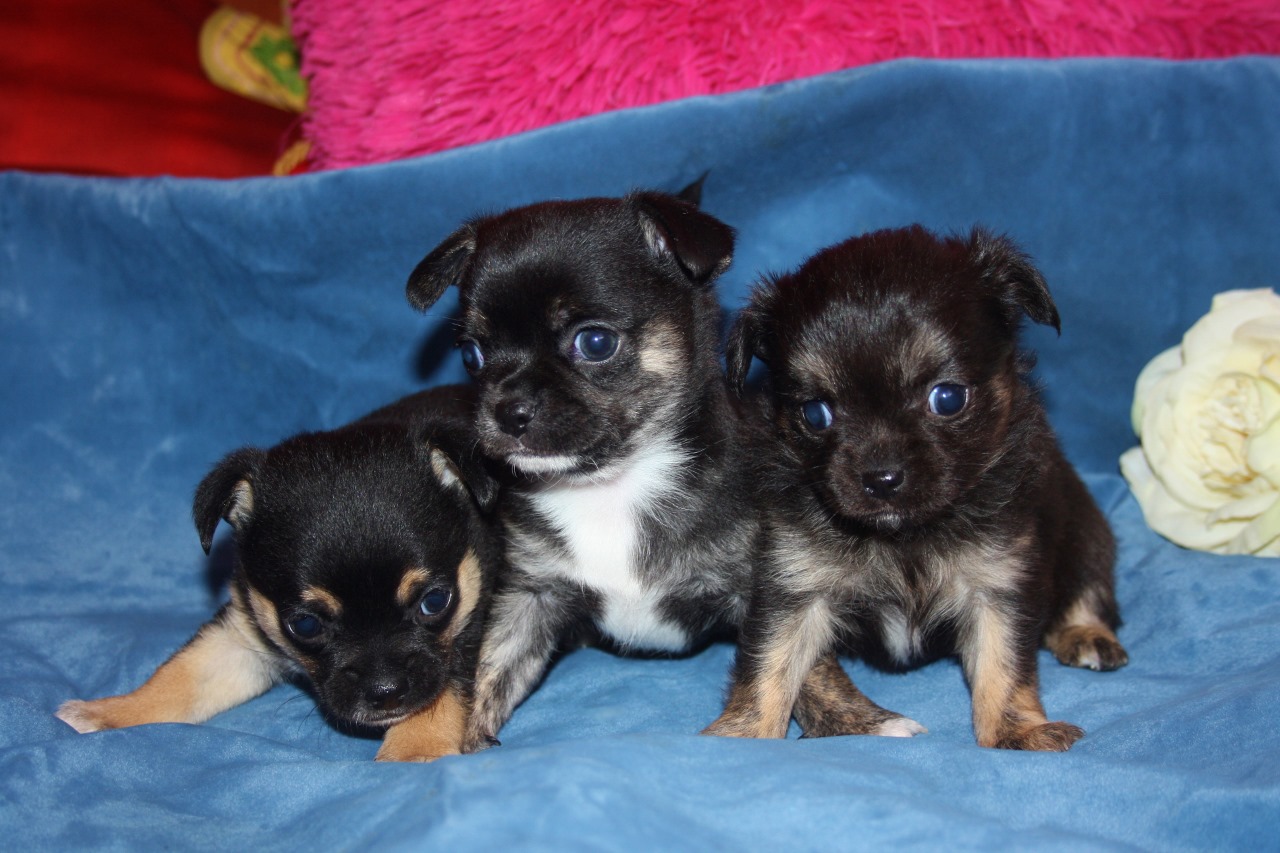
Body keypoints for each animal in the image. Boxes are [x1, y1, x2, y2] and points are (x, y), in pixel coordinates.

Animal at [56, 386, 502, 762]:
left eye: (434, 601)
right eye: (305, 625)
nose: (386, 691)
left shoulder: (471, 625)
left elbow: (443, 690)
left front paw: (412, 751)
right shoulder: (240, 634)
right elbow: (181, 675)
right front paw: (110, 712)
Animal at [405, 187, 921, 753]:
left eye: (595, 343)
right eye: (472, 356)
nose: (507, 410)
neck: (613, 482)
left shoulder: (766, 588)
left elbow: (801, 663)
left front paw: (859, 721)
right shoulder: (530, 596)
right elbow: (490, 667)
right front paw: (456, 741)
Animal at [704, 225, 1127, 751]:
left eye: (947, 398)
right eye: (815, 413)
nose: (881, 478)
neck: (904, 537)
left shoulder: (1000, 582)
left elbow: (1004, 663)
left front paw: (1016, 732)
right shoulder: (795, 585)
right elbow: (770, 664)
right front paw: (742, 734)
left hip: (1087, 527)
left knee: (1089, 587)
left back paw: (1088, 636)